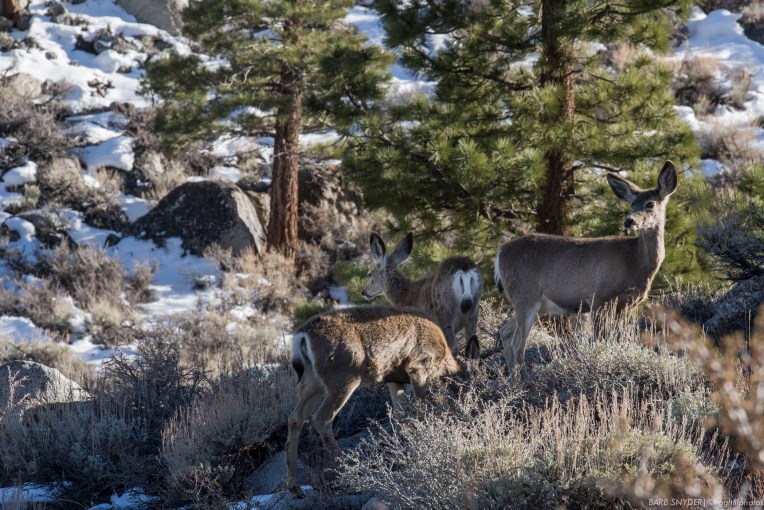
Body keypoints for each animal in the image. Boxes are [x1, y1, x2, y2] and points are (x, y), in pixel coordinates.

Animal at [285, 305, 480, 497]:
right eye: (472, 382)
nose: (473, 408)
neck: (443, 357)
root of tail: (302, 336)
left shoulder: (396, 380)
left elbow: (401, 416)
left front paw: (405, 450)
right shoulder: (418, 366)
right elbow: (421, 408)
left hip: (312, 381)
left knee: (295, 418)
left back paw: (295, 487)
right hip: (344, 375)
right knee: (321, 418)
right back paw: (348, 473)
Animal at [493, 161, 679, 378]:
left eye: (650, 204)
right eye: (632, 204)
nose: (629, 221)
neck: (635, 260)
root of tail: (500, 253)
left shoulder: (628, 305)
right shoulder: (599, 297)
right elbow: (600, 341)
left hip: (536, 304)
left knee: (505, 332)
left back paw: (511, 380)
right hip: (525, 295)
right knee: (517, 343)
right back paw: (522, 381)